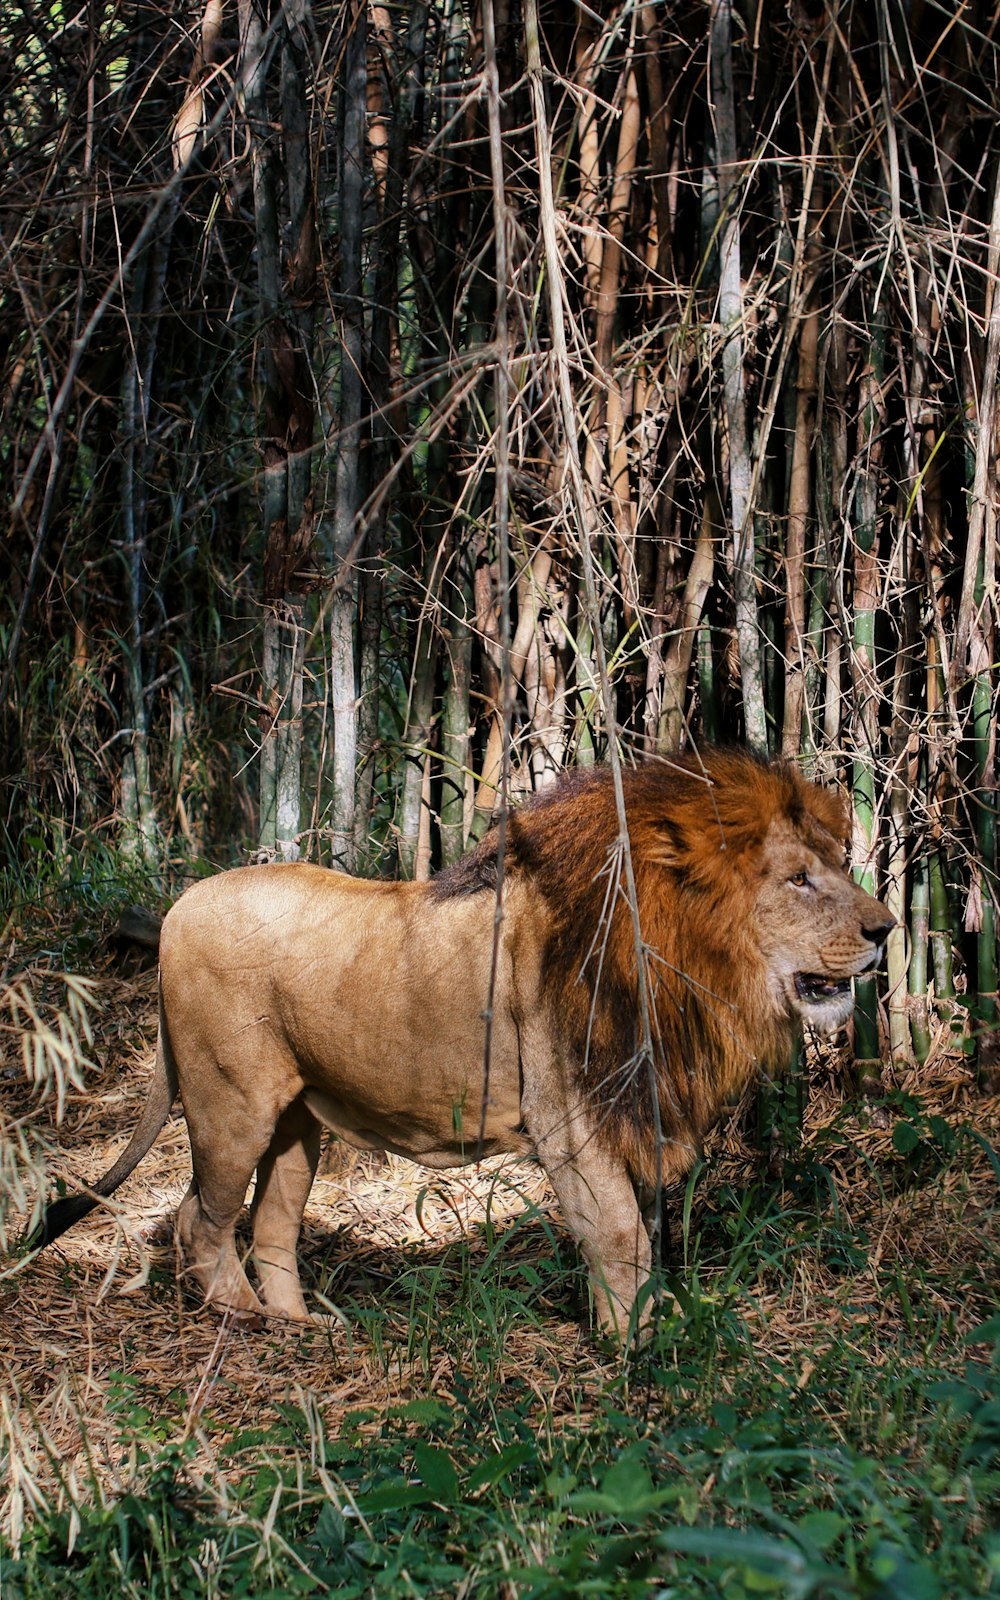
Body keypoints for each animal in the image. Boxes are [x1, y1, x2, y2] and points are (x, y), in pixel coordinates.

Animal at [29, 748, 889, 1337]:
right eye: (798, 879)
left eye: (831, 867)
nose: (886, 929)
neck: (681, 963)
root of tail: (177, 908)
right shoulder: (573, 1123)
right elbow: (619, 1236)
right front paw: (633, 1358)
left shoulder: (636, 1110)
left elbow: (648, 1235)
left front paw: (655, 1331)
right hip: (228, 1104)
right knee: (198, 1221)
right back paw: (250, 1324)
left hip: (297, 1121)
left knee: (269, 1223)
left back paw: (308, 1328)